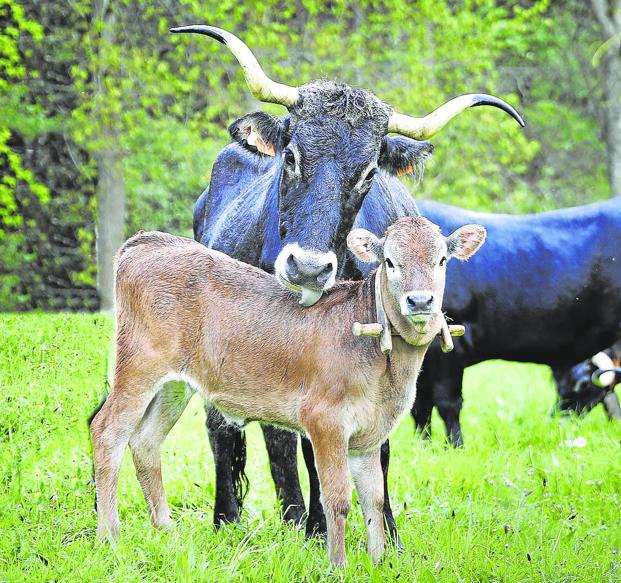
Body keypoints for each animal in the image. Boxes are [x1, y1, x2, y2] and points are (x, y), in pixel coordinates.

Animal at [91, 217, 484, 568]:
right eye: (389, 261)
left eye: (441, 260)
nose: (420, 301)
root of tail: (151, 241)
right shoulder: (325, 421)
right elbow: (337, 498)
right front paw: (338, 566)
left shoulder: (369, 435)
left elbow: (373, 498)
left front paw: (379, 561)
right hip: (139, 365)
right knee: (107, 431)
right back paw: (110, 536)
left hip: (175, 384)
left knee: (145, 441)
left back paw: (167, 532)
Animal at [170, 24, 524, 544]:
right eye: (292, 156)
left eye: (369, 172)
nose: (308, 268)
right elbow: (289, 443)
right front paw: (313, 529)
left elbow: (371, 448)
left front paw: (383, 536)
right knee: (228, 431)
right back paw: (231, 518)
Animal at [412, 198, 620, 444]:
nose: (557, 422)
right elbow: (419, 407)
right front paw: (423, 447)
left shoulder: (449, 349)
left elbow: (448, 404)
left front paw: (455, 446)